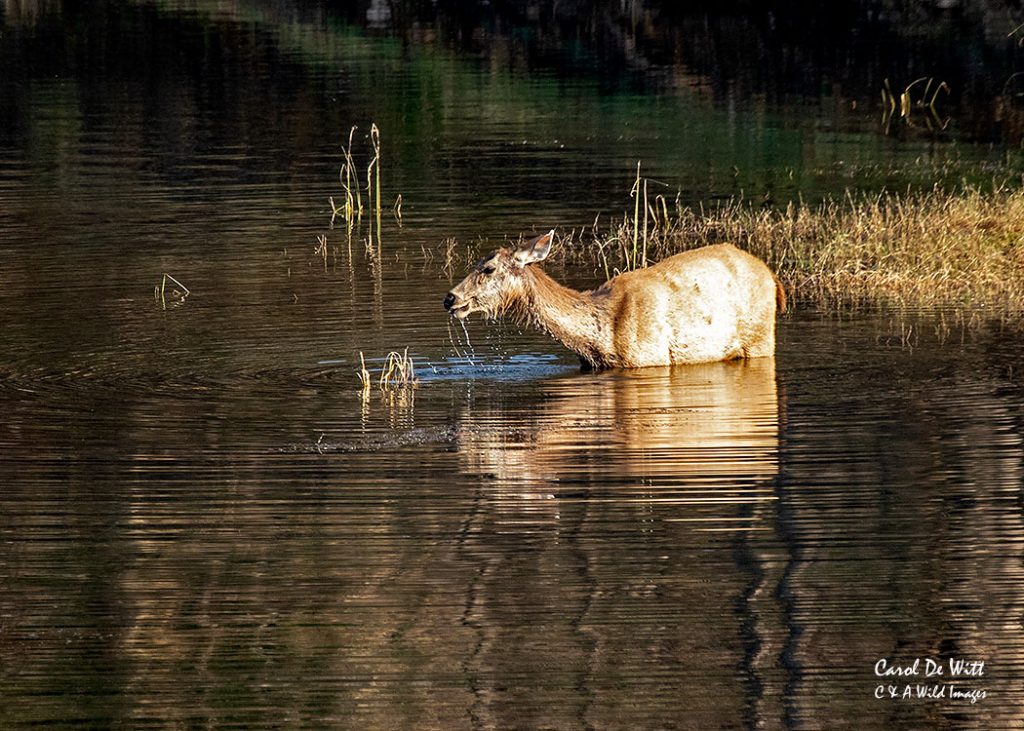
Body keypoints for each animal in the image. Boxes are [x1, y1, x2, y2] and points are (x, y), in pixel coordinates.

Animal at [443, 230, 786, 369]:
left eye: (488, 268)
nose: (450, 298)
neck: (599, 338)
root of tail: (773, 277)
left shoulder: (650, 358)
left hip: (760, 339)